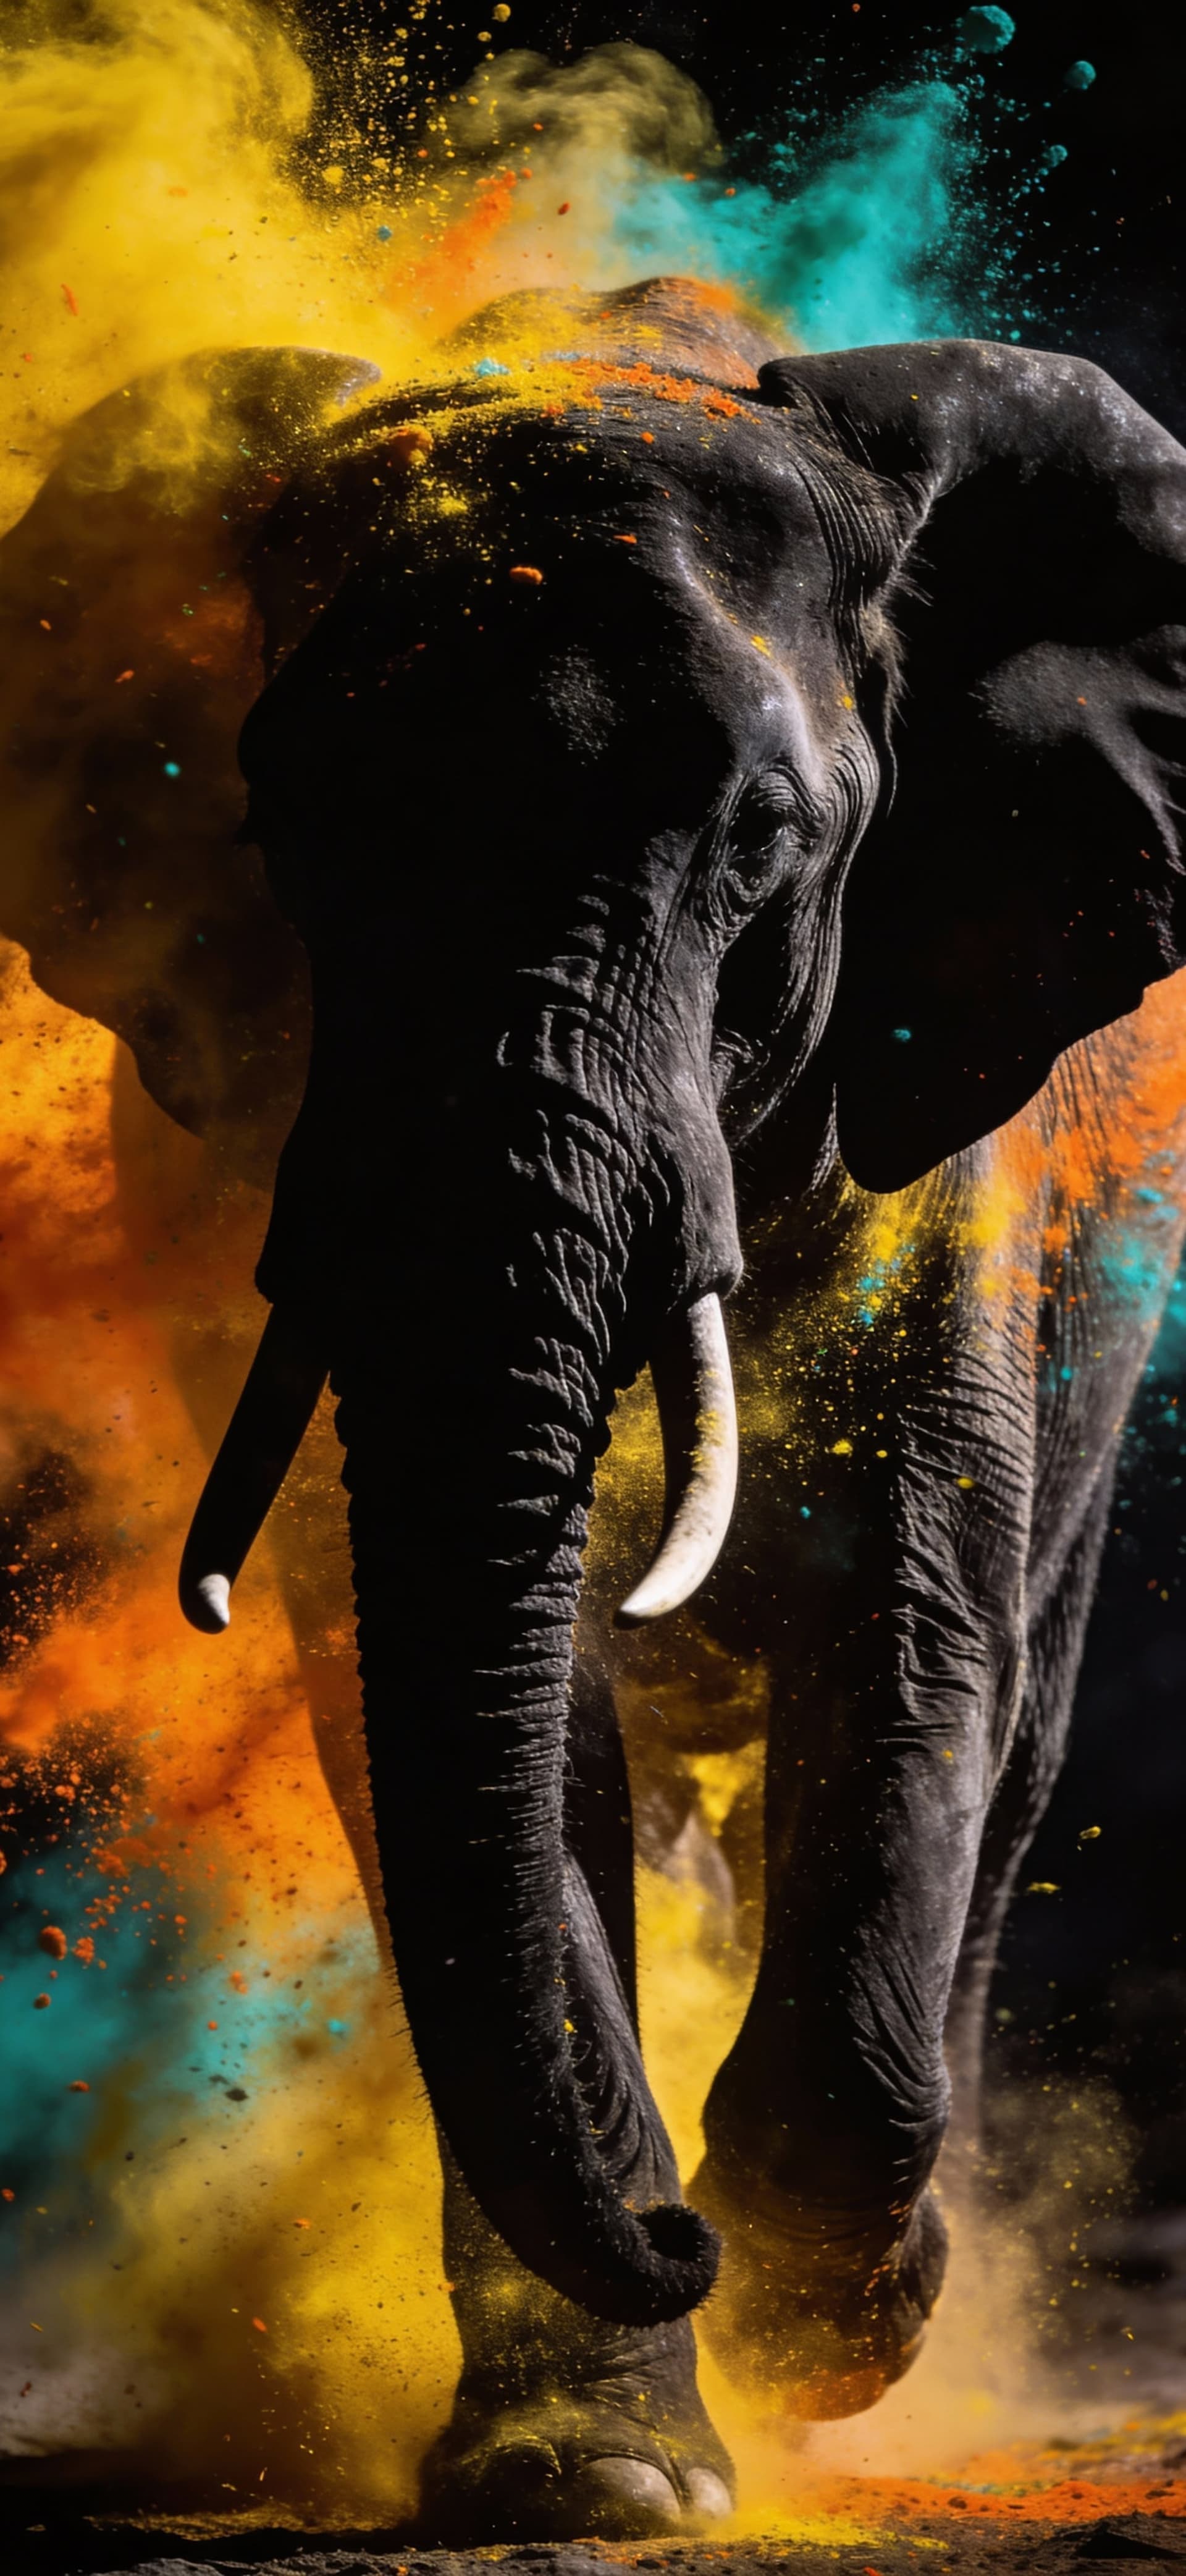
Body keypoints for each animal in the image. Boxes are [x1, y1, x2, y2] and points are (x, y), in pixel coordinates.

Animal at [4, 273, 1186, 2539]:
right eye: (288, 836)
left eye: (773, 851)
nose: (675, 2229)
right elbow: (498, 1721)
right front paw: (607, 2471)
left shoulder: (953, 1102)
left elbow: (906, 1624)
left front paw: (813, 2323)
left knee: (1020, 1702)